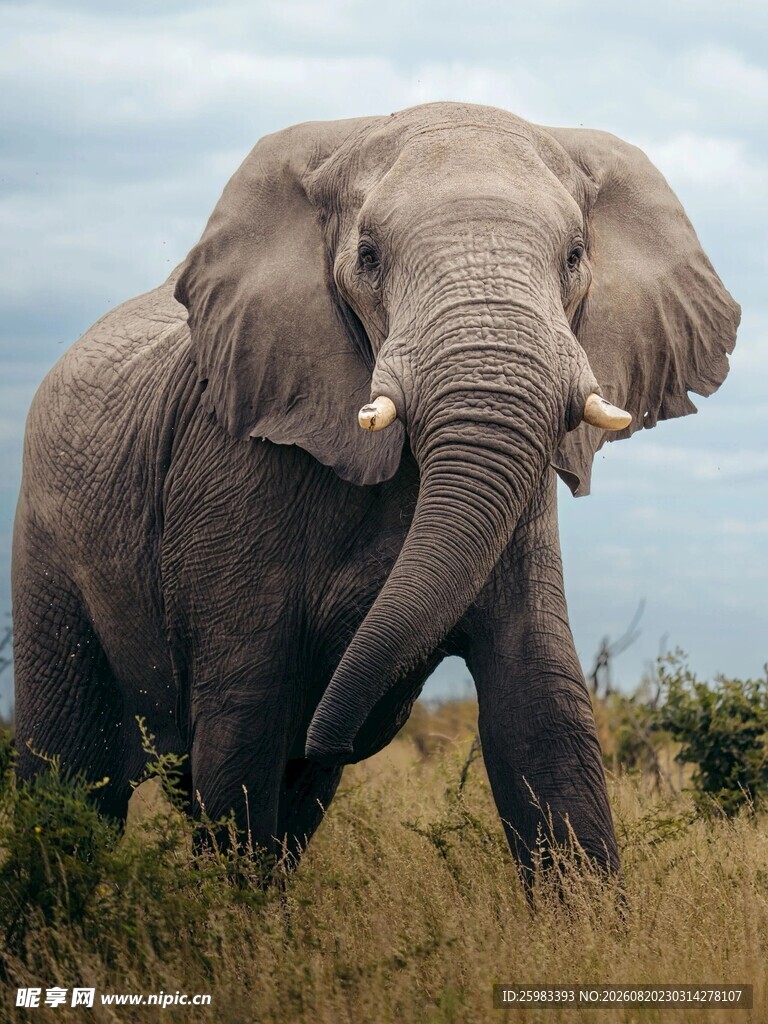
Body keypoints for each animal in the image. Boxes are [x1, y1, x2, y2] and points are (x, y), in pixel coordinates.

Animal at [12, 102, 738, 882]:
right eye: (368, 257)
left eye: (575, 255)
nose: (336, 733)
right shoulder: (228, 469)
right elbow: (242, 731)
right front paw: (231, 909)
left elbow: (543, 716)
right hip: (46, 547)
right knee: (70, 778)